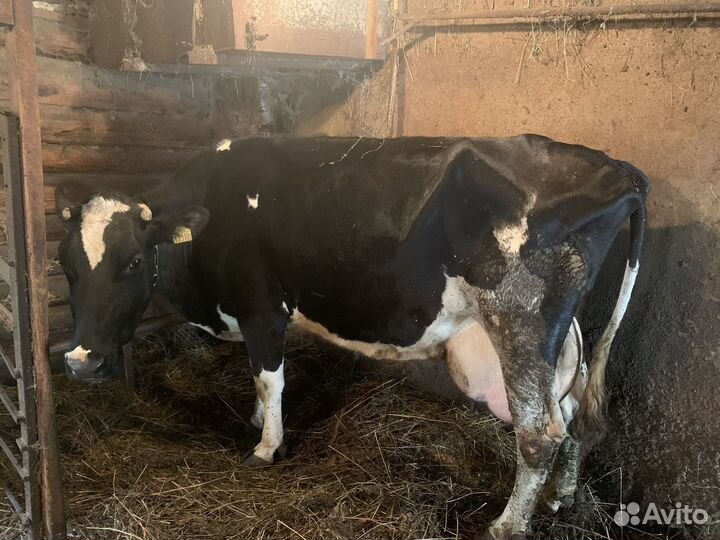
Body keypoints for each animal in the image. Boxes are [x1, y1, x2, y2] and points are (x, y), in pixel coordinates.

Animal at [55, 135, 648, 540]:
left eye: (134, 261)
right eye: (65, 265)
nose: (81, 361)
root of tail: (617, 170)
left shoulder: (262, 308)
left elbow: (270, 379)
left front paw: (266, 446)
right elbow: (257, 379)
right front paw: (254, 421)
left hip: (518, 319)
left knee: (539, 434)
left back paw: (505, 526)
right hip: (555, 336)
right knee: (569, 414)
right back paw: (559, 497)